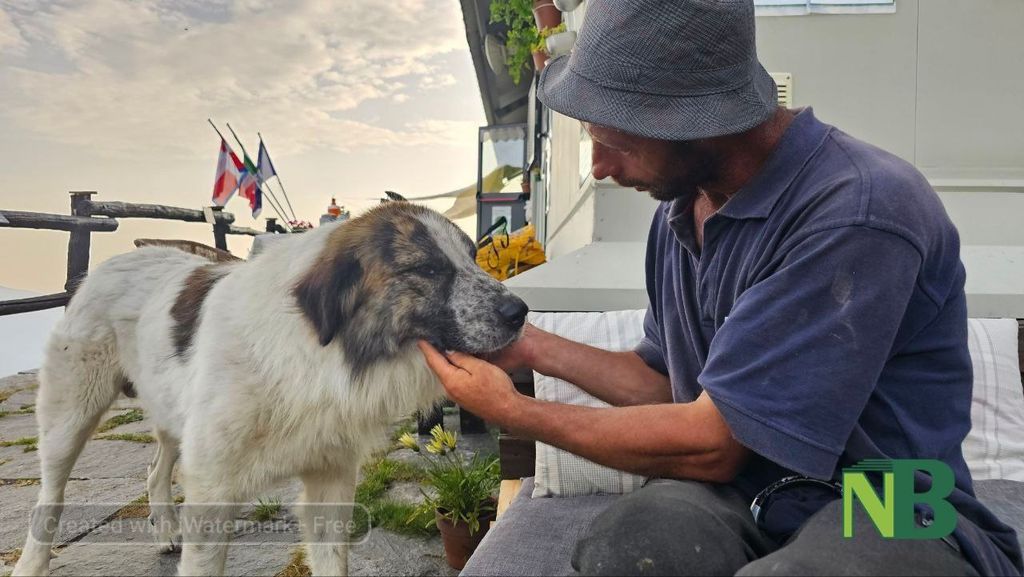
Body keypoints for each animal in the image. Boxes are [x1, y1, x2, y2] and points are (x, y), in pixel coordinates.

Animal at [13, 201, 528, 576]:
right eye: (427, 270)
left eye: (474, 259)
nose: (520, 312)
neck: (319, 354)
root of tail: (112, 262)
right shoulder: (213, 492)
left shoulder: (330, 482)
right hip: (69, 419)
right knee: (49, 500)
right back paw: (32, 565)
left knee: (156, 470)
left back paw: (165, 531)